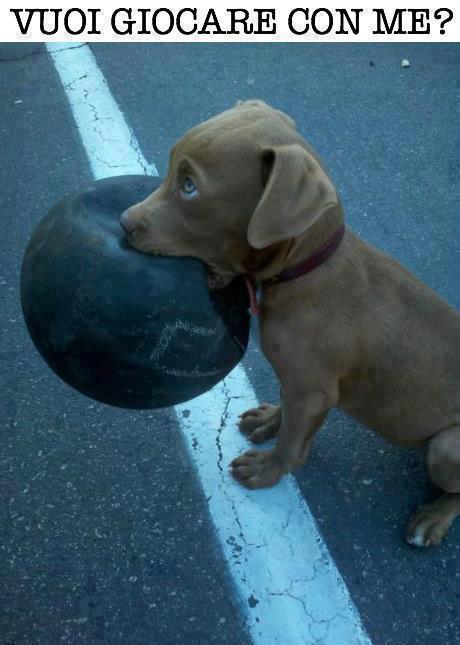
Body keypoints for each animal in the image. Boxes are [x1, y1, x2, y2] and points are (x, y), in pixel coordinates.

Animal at [121, 98, 460, 544]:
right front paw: (267, 421)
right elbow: (286, 411)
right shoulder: (299, 384)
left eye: (190, 186)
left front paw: (267, 470)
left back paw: (432, 519)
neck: (305, 270)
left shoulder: (314, 391)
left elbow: (292, 443)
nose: (124, 222)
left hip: (446, 447)